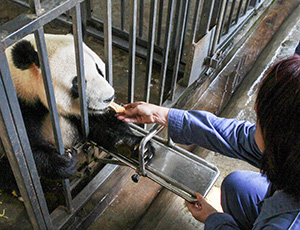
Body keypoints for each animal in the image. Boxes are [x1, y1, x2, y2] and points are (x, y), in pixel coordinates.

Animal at [0, 33, 154, 190]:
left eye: (99, 70)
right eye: (78, 82)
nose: (109, 98)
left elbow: (100, 124)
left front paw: (137, 147)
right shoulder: (18, 105)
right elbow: (24, 150)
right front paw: (63, 162)